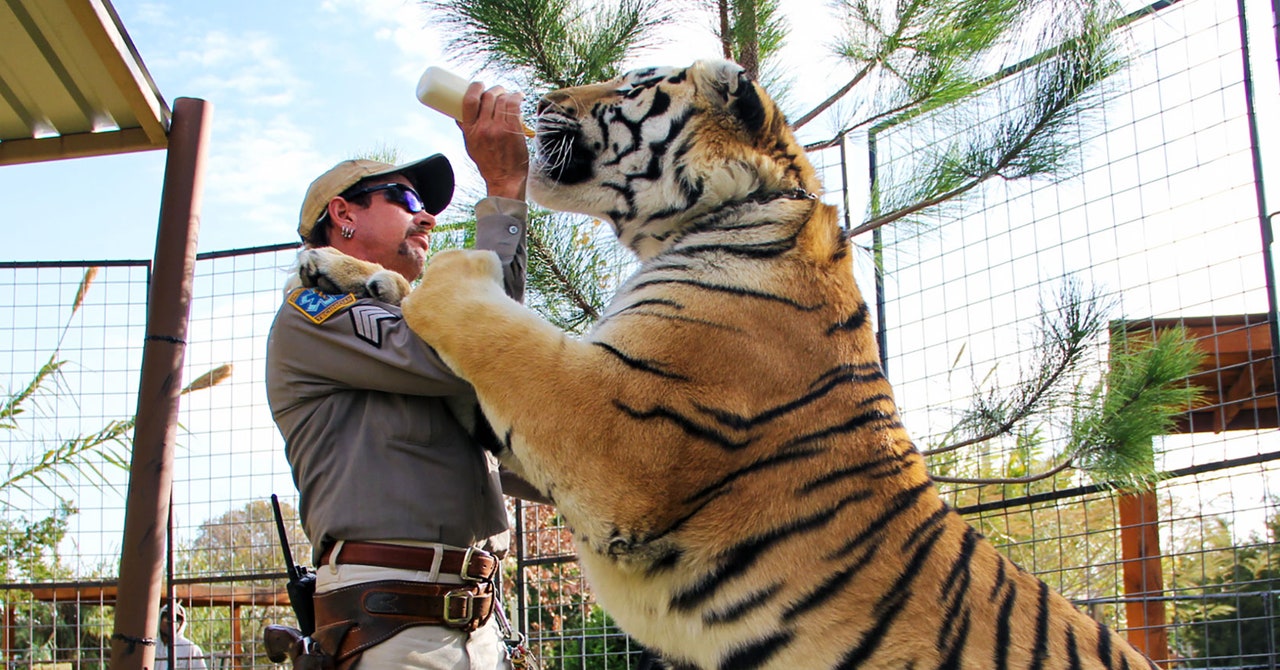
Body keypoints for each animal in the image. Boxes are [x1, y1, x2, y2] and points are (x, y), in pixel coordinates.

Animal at [302, 58, 1162, 670]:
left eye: (630, 83)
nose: (541, 95)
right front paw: (335, 266)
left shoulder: (617, 430)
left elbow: (493, 323)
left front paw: (448, 267)